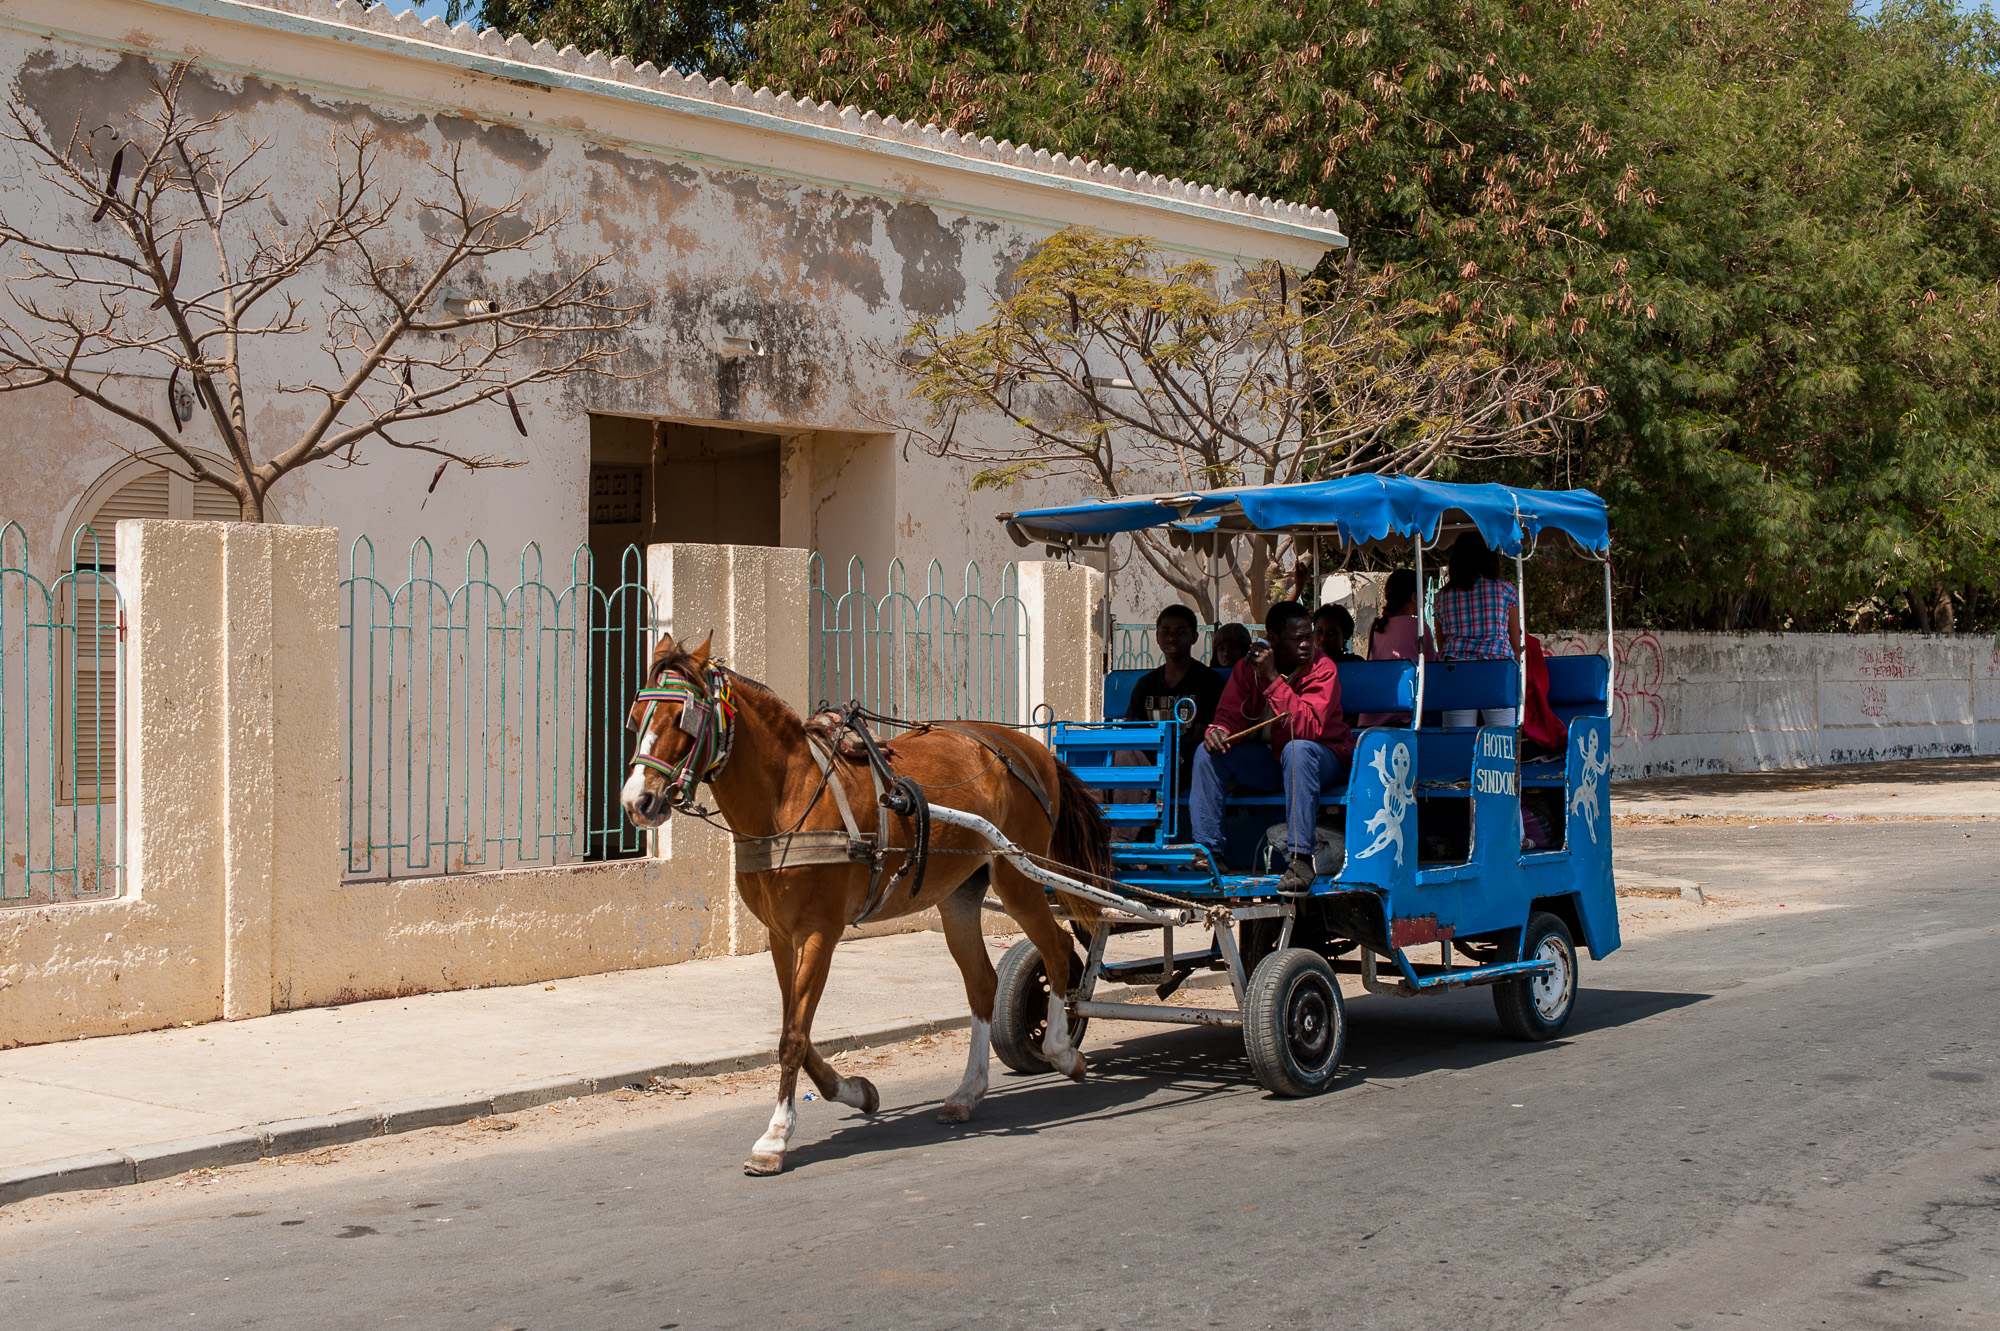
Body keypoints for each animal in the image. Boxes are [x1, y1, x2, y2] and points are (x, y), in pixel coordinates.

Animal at [620, 627, 1112, 1167]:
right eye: (635, 720)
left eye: (684, 720)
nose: (637, 802)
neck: (788, 795)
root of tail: (1027, 745)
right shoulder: (781, 936)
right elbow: (797, 1028)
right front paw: (855, 1091)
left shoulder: (819, 932)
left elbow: (793, 1036)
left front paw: (776, 1135)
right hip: (960, 894)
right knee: (983, 984)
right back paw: (968, 1092)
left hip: (1018, 876)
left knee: (1057, 951)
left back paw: (1062, 1050)